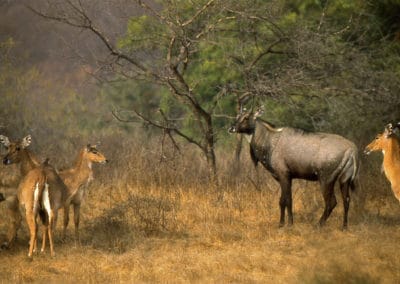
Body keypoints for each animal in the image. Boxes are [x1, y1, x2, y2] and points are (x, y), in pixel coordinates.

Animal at [228, 107, 360, 230]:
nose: (231, 128)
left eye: (246, 118)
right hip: (344, 179)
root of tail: (352, 150)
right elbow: (283, 200)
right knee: (347, 200)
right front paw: (283, 223)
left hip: (326, 179)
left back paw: (318, 225)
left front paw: (288, 224)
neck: (270, 143)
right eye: (237, 116)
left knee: (331, 202)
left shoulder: (283, 174)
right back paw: (344, 226)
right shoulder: (287, 177)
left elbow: (286, 200)